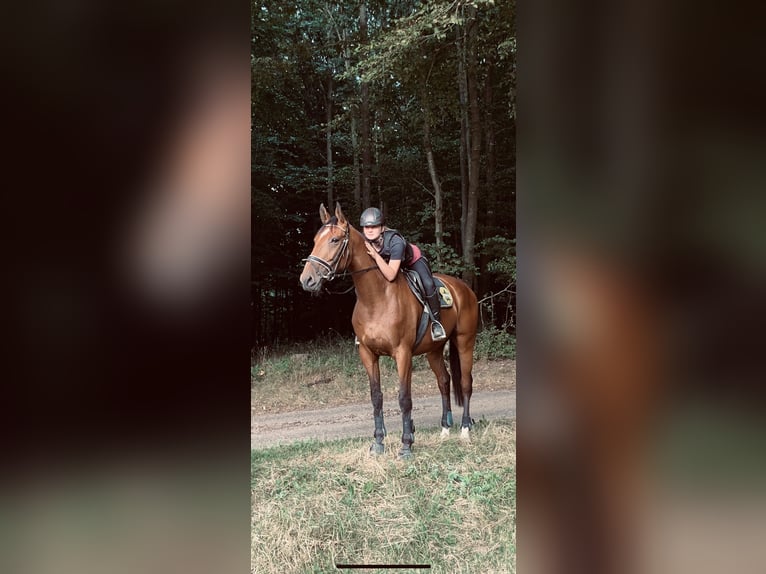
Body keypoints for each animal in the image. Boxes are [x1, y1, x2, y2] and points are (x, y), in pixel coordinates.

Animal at [299, 202, 479, 458]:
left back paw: (464, 429)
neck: (376, 298)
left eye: (334, 239)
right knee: (444, 381)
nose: (307, 280)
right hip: (433, 350)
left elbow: (404, 398)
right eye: (315, 239)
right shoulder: (367, 354)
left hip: (465, 342)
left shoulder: (402, 353)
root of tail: (463, 288)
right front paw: (378, 443)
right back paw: (445, 429)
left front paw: (406, 444)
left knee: (465, 382)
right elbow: (377, 398)